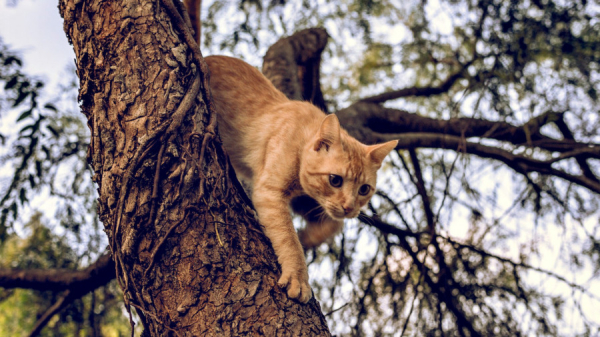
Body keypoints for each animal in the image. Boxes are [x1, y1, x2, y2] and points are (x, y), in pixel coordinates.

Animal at [206, 55, 398, 302]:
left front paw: (306, 238)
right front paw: (299, 276)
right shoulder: (271, 191)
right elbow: (288, 237)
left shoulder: (306, 200)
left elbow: (331, 226)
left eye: (364, 189)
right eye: (335, 180)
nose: (349, 207)